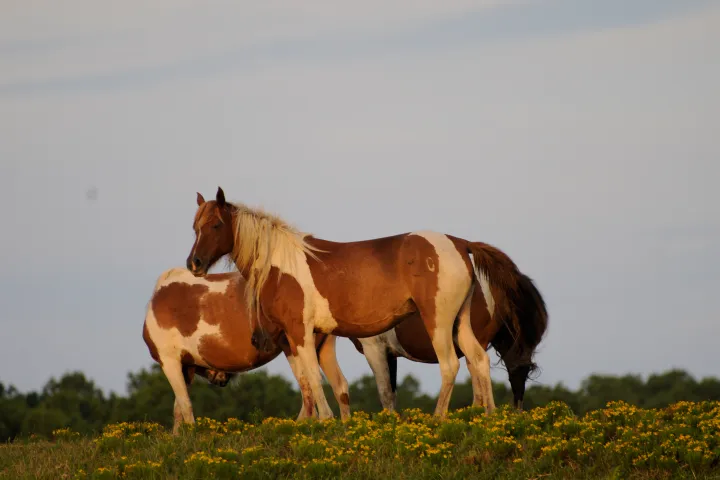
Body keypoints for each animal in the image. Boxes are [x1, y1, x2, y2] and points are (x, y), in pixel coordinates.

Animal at [142, 267, 351, 434]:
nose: (222, 379)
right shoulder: (186, 366)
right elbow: (178, 407)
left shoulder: (169, 361)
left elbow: (184, 405)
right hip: (322, 348)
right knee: (338, 386)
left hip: (297, 347)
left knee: (309, 389)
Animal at [186, 187, 548, 419]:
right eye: (194, 226)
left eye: (216, 225)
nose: (195, 263)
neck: (282, 263)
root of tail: (460, 244)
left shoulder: (300, 333)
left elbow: (313, 381)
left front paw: (325, 424)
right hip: (461, 323)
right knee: (477, 361)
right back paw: (486, 418)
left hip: (438, 322)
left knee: (451, 365)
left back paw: (439, 418)